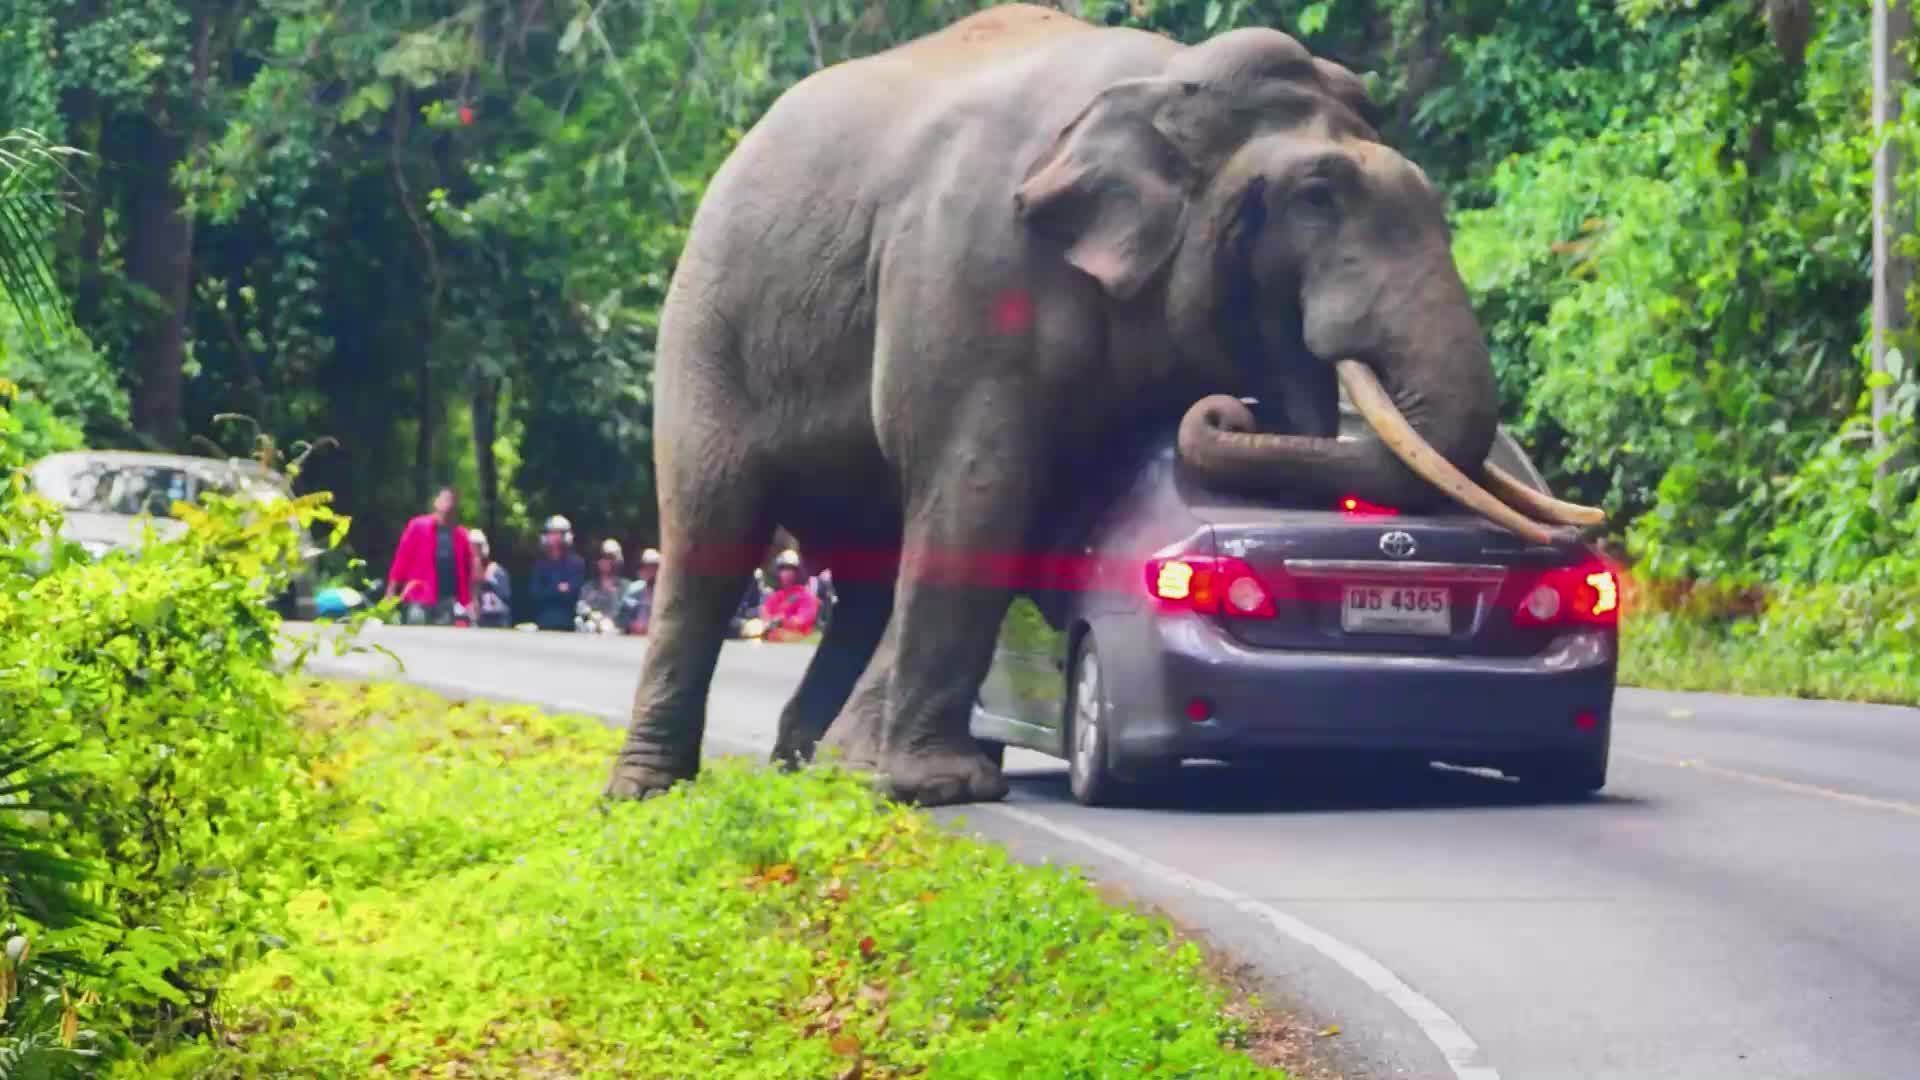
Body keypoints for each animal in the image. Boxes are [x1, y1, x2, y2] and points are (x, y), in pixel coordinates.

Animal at [599, 4, 1605, 803]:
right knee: (712, 530)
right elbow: (982, 486)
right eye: (1318, 196)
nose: (1230, 405)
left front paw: (898, 778)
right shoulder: (970, 263)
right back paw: (651, 794)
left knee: (866, 569)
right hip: (708, 328)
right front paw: (940, 789)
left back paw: (812, 767)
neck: (1167, 81)